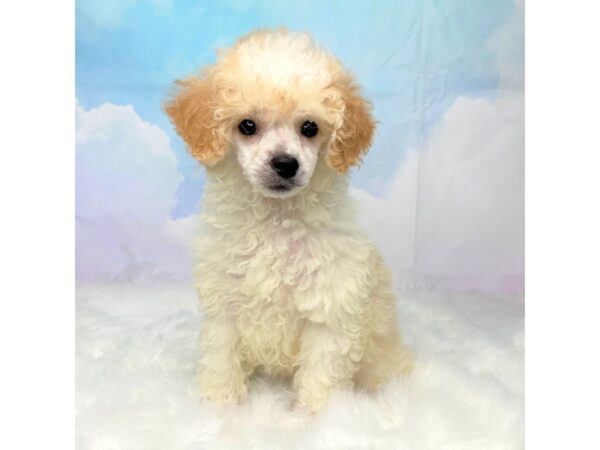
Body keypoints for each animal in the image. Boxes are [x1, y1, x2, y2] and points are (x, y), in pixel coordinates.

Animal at [166, 28, 414, 412]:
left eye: (309, 128)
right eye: (247, 126)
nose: (285, 163)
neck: (275, 220)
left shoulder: (329, 310)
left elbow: (321, 374)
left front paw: (316, 416)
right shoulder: (224, 304)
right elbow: (221, 358)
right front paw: (220, 405)